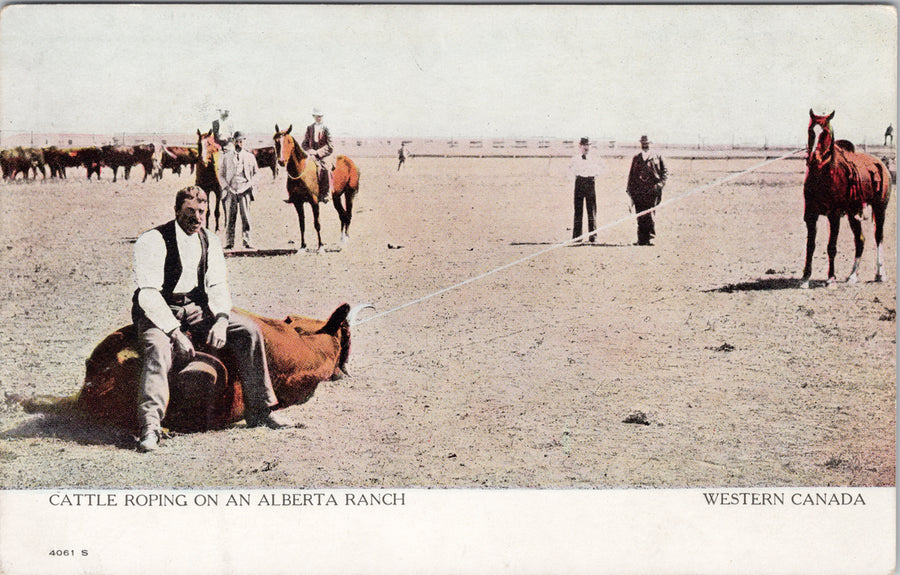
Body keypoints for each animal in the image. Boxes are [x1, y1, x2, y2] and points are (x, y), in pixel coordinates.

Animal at [800, 109, 892, 288]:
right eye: (811, 131)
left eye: (825, 132)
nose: (814, 158)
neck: (825, 174)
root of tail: (881, 165)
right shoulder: (811, 215)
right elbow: (810, 245)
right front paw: (805, 278)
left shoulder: (834, 215)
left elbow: (831, 246)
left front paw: (831, 279)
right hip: (852, 214)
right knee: (860, 240)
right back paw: (852, 276)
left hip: (880, 209)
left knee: (879, 238)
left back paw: (880, 274)